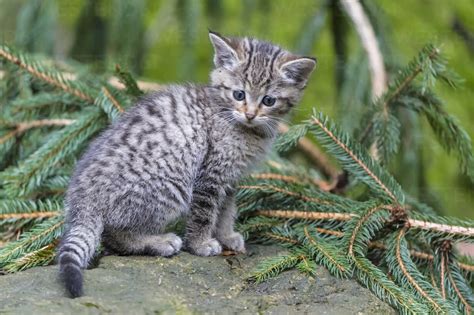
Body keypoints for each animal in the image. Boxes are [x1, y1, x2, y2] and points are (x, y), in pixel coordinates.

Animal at [59, 31, 316, 298]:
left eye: (268, 100)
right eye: (239, 94)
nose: (250, 114)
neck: (241, 126)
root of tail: (82, 199)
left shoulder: (230, 178)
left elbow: (226, 210)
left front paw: (226, 235)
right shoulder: (210, 174)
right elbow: (204, 214)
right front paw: (201, 244)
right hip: (171, 187)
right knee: (116, 235)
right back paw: (159, 242)